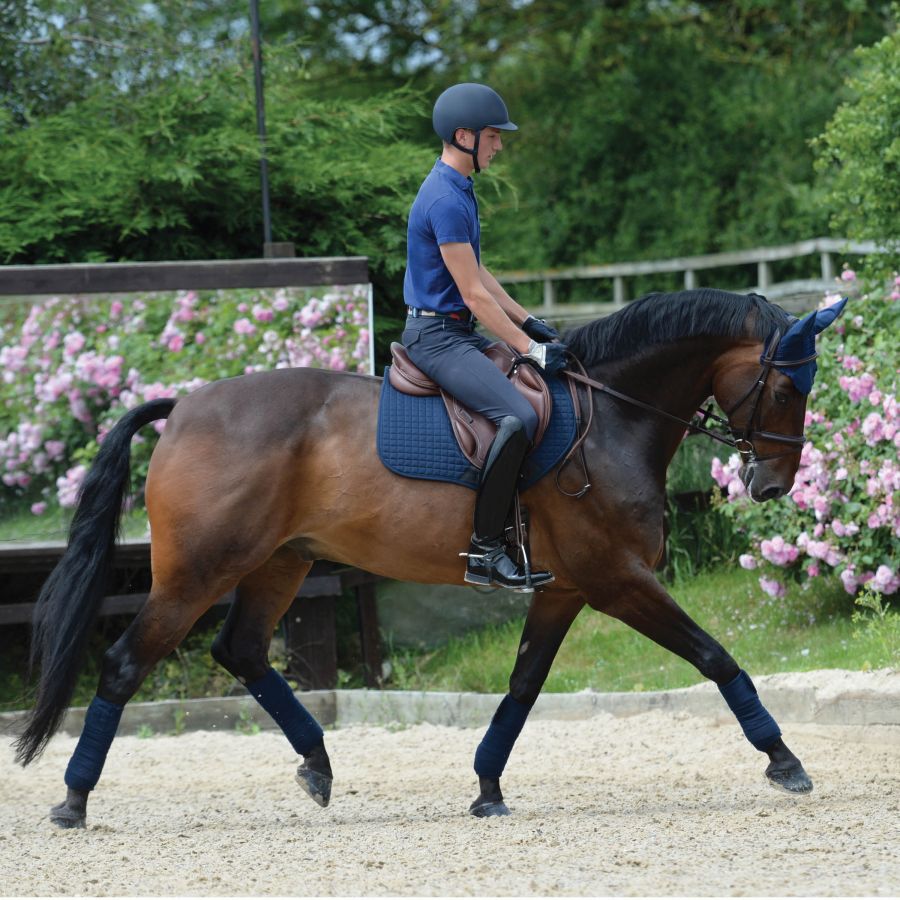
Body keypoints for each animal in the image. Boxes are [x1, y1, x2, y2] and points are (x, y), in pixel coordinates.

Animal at [14, 290, 844, 828]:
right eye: (783, 386)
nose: (772, 484)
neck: (611, 417)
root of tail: (184, 407)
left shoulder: (564, 589)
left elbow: (522, 687)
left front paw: (486, 786)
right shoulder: (617, 581)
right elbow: (716, 657)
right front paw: (783, 760)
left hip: (280, 561)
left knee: (241, 649)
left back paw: (318, 765)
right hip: (196, 572)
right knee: (126, 663)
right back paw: (74, 800)